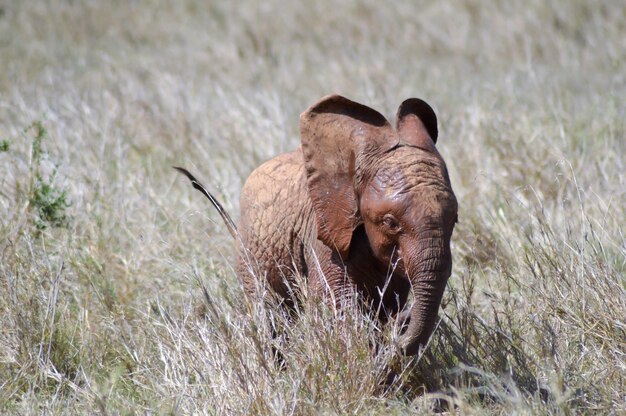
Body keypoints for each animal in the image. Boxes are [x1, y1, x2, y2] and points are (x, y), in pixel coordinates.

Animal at [173, 94, 456, 354]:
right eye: (389, 222)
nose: (403, 321)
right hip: (250, 257)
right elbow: (333, 301)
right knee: (269, 316)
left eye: (454, 220)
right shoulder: (323, 232)